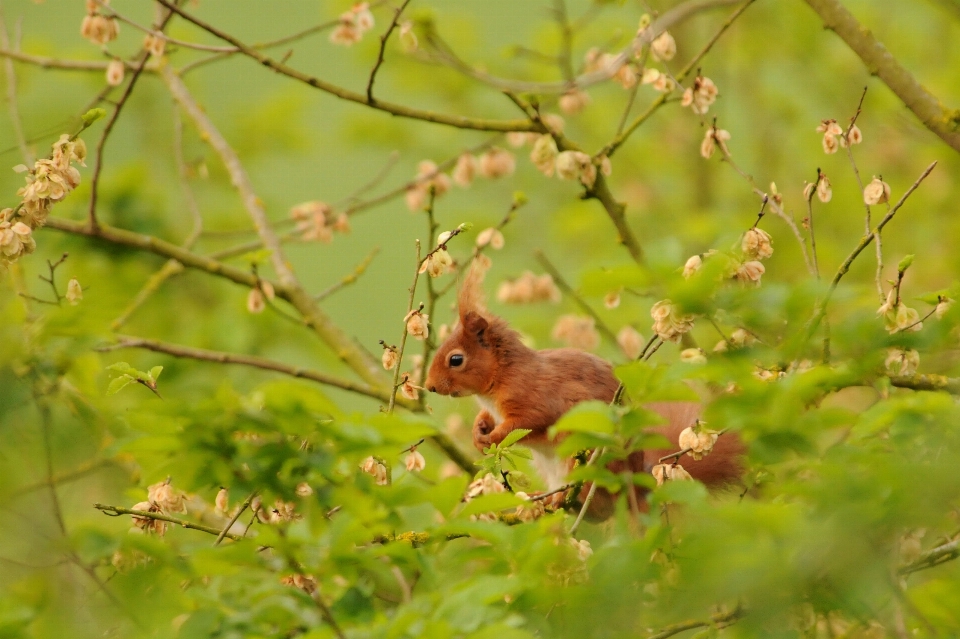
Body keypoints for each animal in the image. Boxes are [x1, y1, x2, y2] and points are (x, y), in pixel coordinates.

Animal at [424, 260, 748, 516]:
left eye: (456, 359)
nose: (429, 387)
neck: (499, 379)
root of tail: (632, 486)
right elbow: (489, 419)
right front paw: (478, 431)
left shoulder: (533, 396)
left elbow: (527, 421)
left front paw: (492, 437)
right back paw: (542, 499)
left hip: (582, 455)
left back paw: (561, 500)